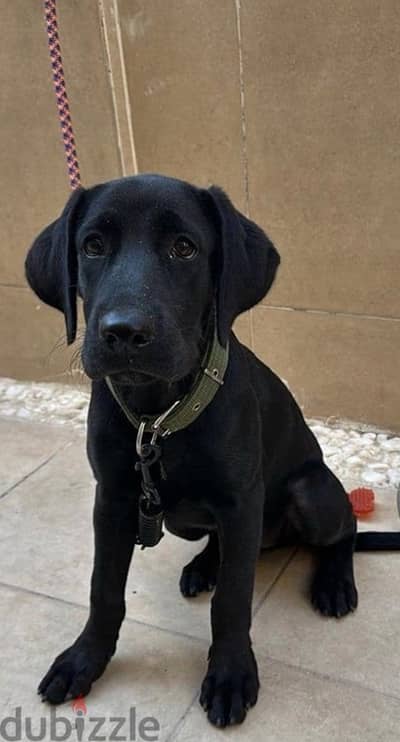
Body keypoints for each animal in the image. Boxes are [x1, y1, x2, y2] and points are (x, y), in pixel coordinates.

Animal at [24, 176, 390, 732]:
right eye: (92, 245)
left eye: (184, 248)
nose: (124, 332)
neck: (158, 417)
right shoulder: (111, 500)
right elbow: (102, 588)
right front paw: (84, 659)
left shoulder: (241, 502)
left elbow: (233, 602)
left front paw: (230, 676)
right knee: (225, 543)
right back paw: (204, 566)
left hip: (311, 492)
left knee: (343, 528)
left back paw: (333, 582)